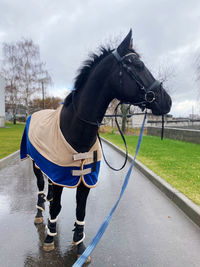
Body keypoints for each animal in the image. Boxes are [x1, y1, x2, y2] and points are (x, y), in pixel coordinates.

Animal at [20, 29, 172, 264]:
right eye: (137, 64)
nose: (167, 101)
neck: (75, 128)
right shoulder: (62, 174)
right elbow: (56, 207)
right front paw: (49, 238)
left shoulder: (85, 178)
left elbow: (80, 209)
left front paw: (80, 245)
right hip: (35, 164)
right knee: (40, 188)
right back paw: (39, 215)